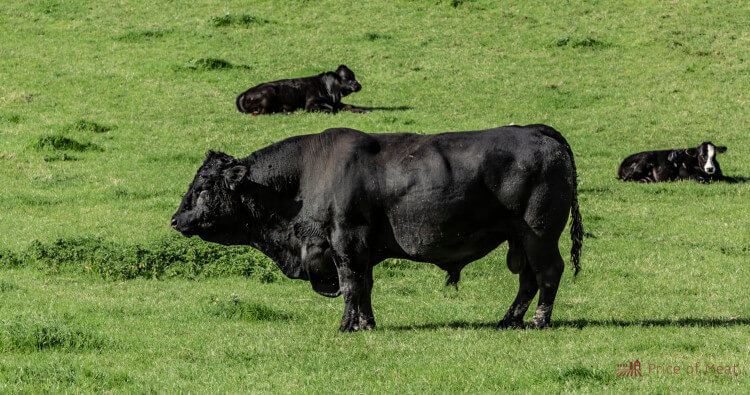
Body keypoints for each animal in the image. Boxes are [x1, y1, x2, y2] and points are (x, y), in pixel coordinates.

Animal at [173, 125, 584, 332]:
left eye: (203, 187)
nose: (176, 219)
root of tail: (536, 131)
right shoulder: (360, 249)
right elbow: (365, 286)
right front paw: (366, 323)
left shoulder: (345, 242)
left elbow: (352, 285)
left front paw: (346, 325)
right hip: (521, 239)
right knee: (527, 280)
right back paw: (509, 319)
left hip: (539, 235)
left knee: (548, 273)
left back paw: (538, 321)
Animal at [236, 65, 372, 114]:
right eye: (347, 78)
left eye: (353, 76)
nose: (359, 86)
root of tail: (245, 93)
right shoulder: (310, 104)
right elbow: (330, 108)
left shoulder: (336, 102)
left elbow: (349, 106)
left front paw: (364, 110)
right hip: (268, 94)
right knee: (265, 112)